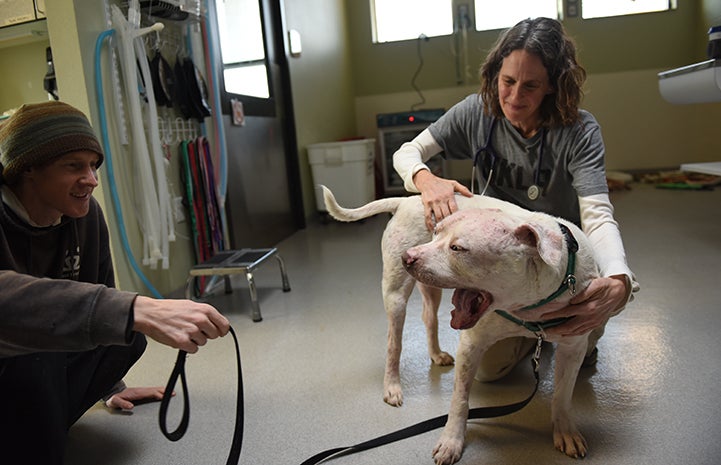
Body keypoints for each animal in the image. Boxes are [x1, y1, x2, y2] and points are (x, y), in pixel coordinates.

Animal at [324, 187, 600, 462]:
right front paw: (451, 441)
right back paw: (392, 386)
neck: (529, 307)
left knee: (429, 318)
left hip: (430, 290)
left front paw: (565, 430)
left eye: (457, 248)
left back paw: (436, 354)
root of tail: (406, 200)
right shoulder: (472, 344)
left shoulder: (573, 348)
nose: (407, 257)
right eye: (436, 231)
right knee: (394, 343)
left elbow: (563, 395)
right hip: (396, 296)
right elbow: (460, 399)